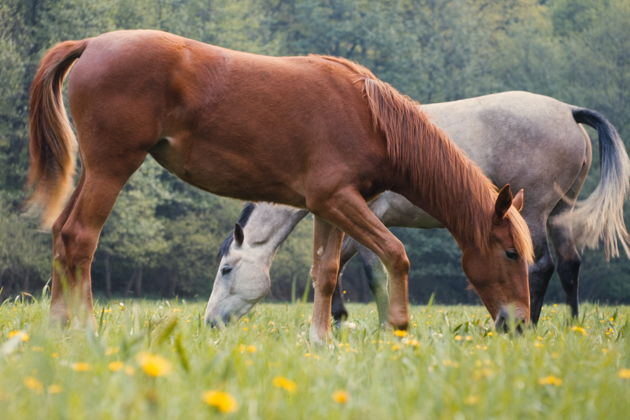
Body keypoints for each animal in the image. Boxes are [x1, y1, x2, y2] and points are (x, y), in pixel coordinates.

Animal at [28, 29, 532, 342]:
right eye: (510, 253)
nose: (520, 325)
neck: (370, 117)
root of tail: (92, 43)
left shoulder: (330, 207)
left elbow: (326, 273)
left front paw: (320, 340)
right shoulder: (339, 201)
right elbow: (395, 254)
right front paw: (399, 326)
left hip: (93, 171)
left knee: (61, 236)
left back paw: (56, 330)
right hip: (111, 168)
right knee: (81, 239)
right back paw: (86, 331)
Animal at [205, 91, 628, 324]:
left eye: (226, 270)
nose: (210, 323)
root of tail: (567, 110)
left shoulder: (368, 217)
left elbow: (368, 271)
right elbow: (335, 267)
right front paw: (342, 320)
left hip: (533, 212)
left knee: (540, 266)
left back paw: (529, 323)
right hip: (559, 213)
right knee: (570, 265)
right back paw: (570, 325)